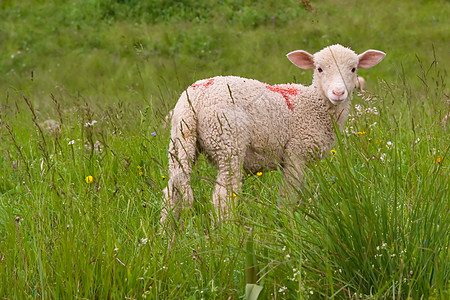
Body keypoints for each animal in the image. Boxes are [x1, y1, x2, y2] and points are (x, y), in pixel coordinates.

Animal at [161, 45, 384, 223]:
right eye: (319, 69)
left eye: (353, 69)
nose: (338, 93)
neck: (312, 104)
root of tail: (195, 98)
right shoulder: (296, 152)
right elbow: (288, 196)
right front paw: (289, 225)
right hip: (227, 140)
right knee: (223, 196)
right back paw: (228, 233)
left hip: (180, 140)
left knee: (172, 193)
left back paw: (168, 233)